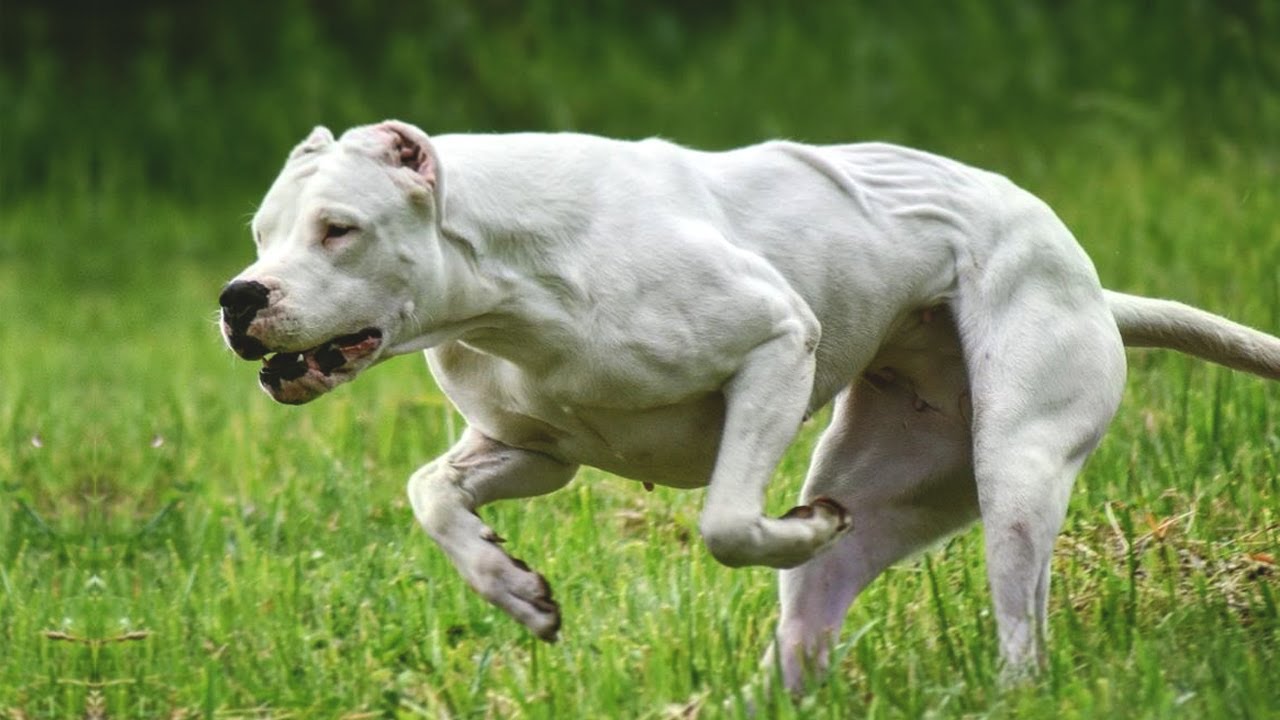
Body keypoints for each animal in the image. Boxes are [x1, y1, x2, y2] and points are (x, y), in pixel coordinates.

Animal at [222, 121, 1280, 691]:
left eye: (339, 230)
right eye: (262, 232)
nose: (238, 297)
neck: (503, 274)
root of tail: (1097, 290)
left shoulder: (775, 347)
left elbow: (728, 522)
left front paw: (792, 526)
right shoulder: (533, 449)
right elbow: (430, 494)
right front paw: (510, 586)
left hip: (1012, 470)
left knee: (1019, 628)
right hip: (900, 484)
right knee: (812, 616)